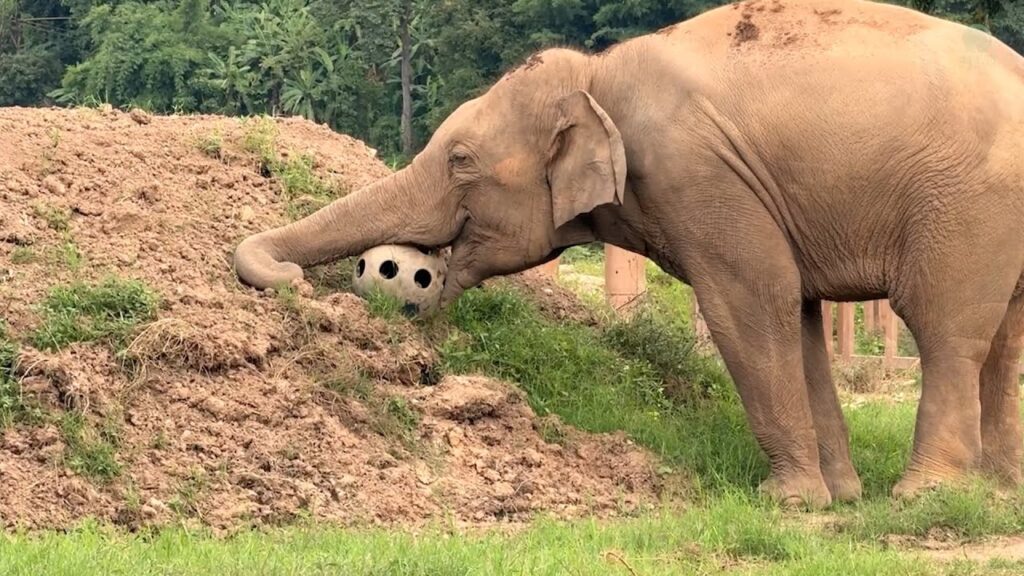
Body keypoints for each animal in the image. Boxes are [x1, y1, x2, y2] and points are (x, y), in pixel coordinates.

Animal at [233, 0, 1024, 508]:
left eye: (459, 160)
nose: (291, 279)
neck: (596, 75)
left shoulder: (696, 175)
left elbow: (750, 305)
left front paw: (790, 503)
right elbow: (795, 315)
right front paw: (839, 498)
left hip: (967, 205)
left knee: (946, 329)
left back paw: (927, 497)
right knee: (1006, 339)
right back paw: (998, 491)